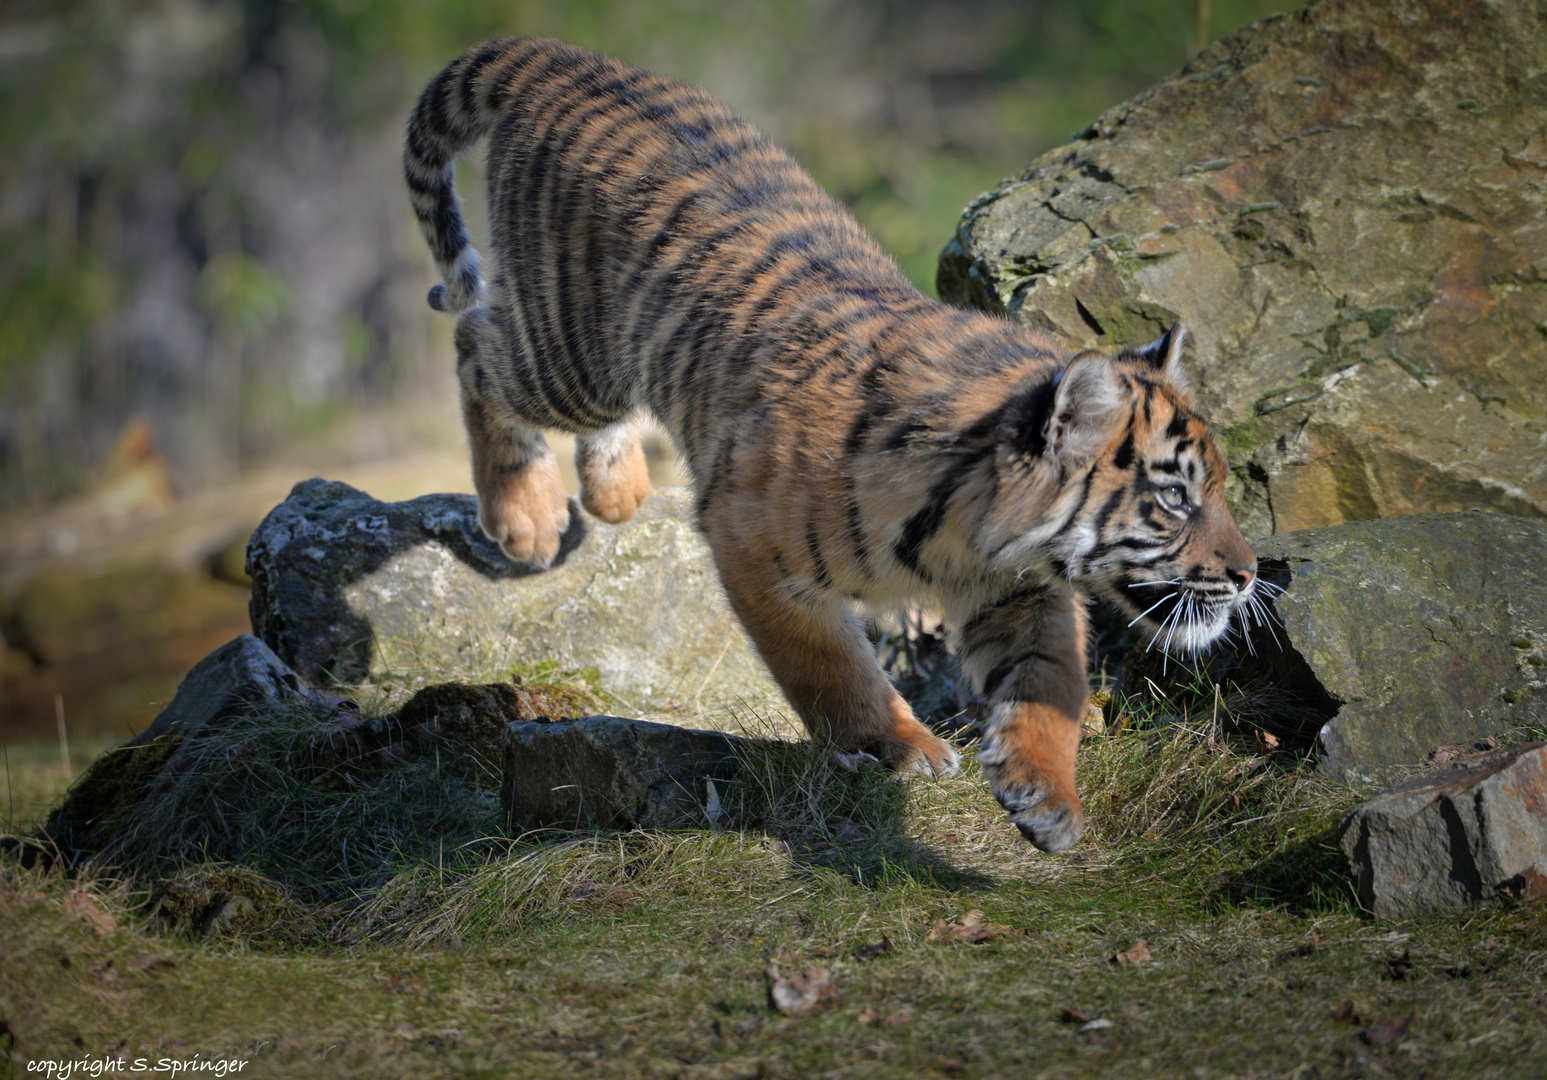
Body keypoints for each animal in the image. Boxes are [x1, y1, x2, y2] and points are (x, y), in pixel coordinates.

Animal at [402, 40, 1256, 847]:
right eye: (1174, 498)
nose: (1250, 576)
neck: (970, 530)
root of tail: (563, 57)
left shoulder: (1015, 590)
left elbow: (1050, 684)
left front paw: (1045, 798)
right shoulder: (751, 548)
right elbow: (832, 668)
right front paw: (900, 748)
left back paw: (616, 492)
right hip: (573, 355)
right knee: (474, 339)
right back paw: (524, 515)